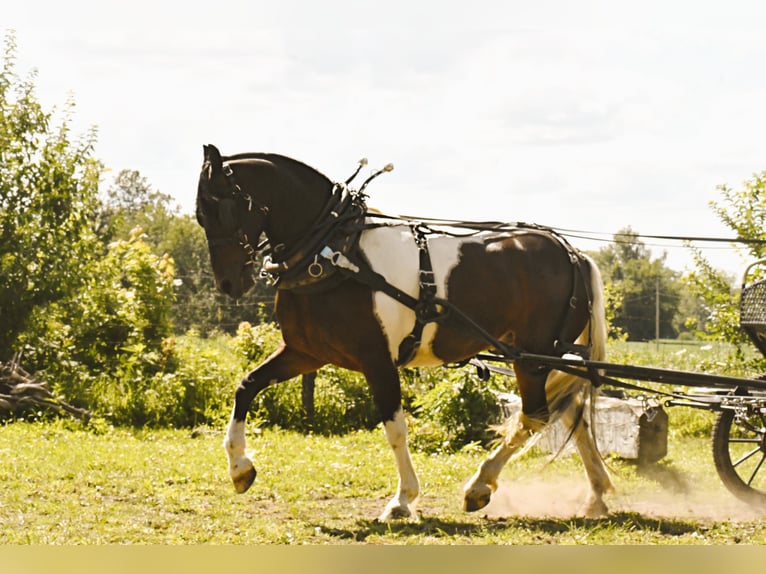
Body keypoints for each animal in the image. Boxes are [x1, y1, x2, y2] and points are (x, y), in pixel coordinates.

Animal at [195, 144, 616, 520]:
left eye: (218, 207)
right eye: (201, 215)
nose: (229, 283)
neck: (333, 252)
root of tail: (573, 254)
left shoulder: (377, 359)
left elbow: (395, 429)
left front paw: (402, 499)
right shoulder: (305, 352)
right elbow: (246, 385)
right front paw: (240, 468)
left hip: (532, 356)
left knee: (536, 417)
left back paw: (480, 485)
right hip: (536, 355)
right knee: (570, 414)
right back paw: (596, 494)